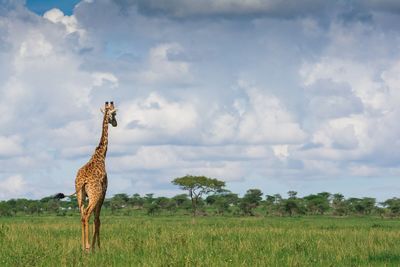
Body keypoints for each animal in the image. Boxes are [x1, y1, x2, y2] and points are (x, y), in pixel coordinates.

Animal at [74, 101, 116, 251]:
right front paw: (97, 247)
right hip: (94, 194)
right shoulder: (103, 192)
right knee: (87, 214)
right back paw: (87, 247)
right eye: (115, 114)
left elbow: (95, 218)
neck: (101, 155)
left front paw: (93, 246)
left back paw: (82, 246)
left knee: (82, 214)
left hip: (80, 195)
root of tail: (83, 181)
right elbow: (97, 219)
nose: (115, 123)